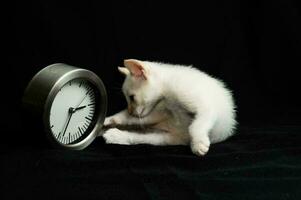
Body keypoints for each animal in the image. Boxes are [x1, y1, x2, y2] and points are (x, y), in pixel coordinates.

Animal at [101, 59, 237, 156]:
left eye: (132, 97)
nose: (130, 112)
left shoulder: (206, 109)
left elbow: (195, 126)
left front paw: (198, 143)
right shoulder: (161, 111)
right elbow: (133, 119)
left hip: (163, 138)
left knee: (139, 135)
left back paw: (115, 134)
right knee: (134, 133)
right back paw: (112, 127)